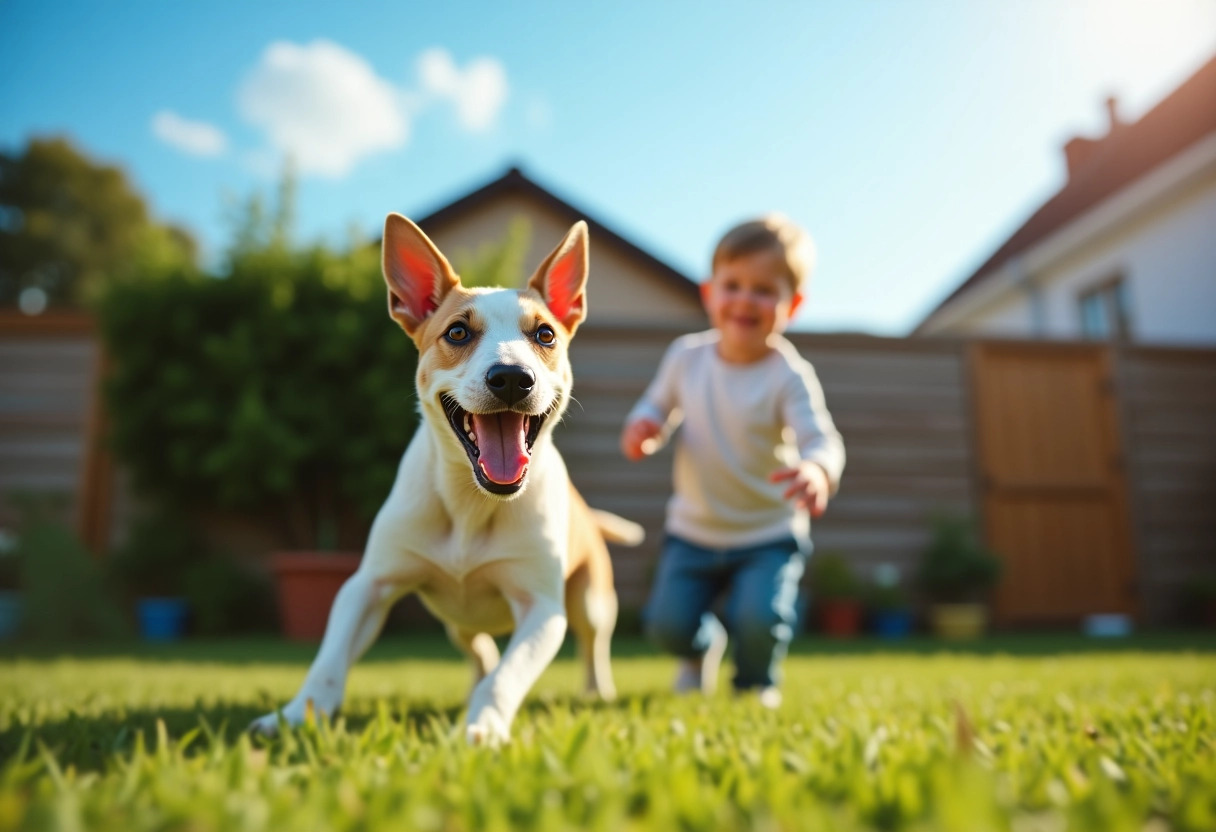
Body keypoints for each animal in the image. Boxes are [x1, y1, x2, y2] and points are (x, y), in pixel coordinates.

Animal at [251, 214, 642, 749]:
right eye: (457, 332)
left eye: (544, 334)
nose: (512, 377)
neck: (470, 502)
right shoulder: (367, 586)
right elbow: (329, 660)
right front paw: (295, 717)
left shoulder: (542, 609)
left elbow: (510, 674)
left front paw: (483, 726)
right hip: (457, 621)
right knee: (480, 650)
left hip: (591, 598)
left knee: (592, 644)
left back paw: (596, 691)